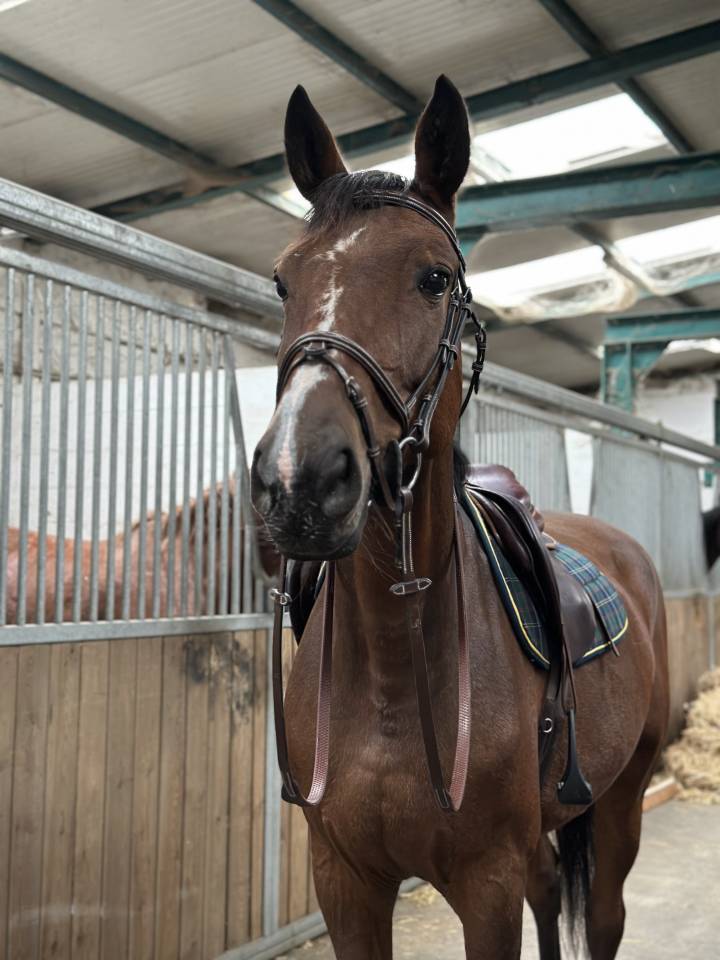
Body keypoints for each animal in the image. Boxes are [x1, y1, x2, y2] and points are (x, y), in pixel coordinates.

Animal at [250, 76, 669, 959]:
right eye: (281, 281)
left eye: (434, 278)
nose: (300, 480)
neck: (391, 667)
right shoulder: (346, 883)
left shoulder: (486, 887)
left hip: (622, 800)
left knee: (603, 917)